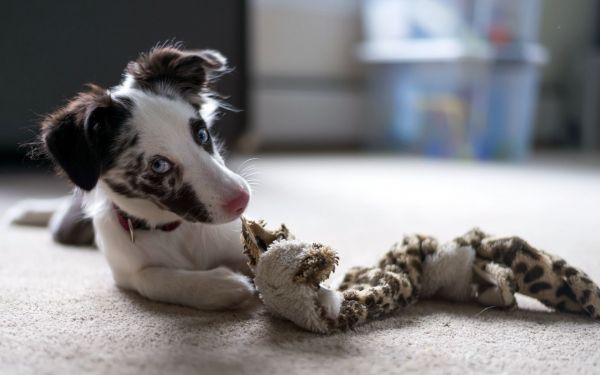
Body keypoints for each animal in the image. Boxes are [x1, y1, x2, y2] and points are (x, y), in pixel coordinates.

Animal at [12, 44, 255, 312]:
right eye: (159, 165)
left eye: (202, 134)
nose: (242, 200)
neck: (170, 230)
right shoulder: (127, 272)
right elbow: (153, 278)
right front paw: (224, 286)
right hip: (66, 229)